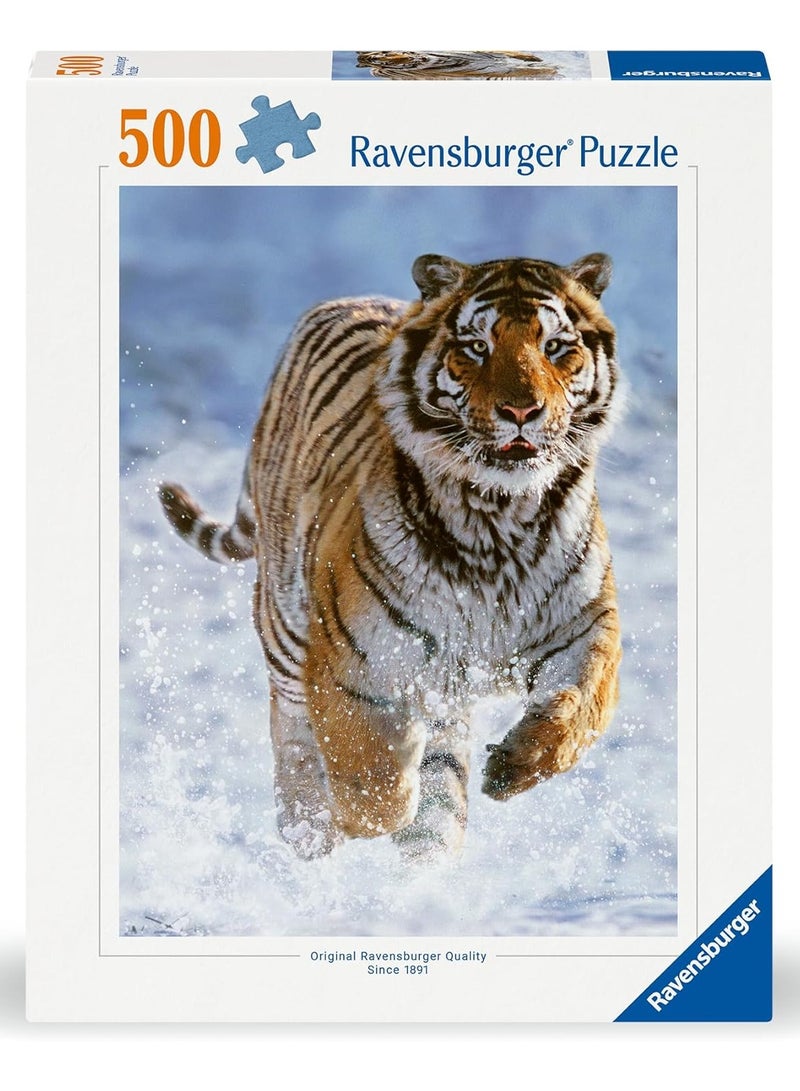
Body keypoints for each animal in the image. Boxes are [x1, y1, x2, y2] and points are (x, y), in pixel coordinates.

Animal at [159, 251, 622, 861]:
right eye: (477, 347)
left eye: (555, 347)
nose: (522, 410)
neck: (498, 517)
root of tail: (344, 300)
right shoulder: (352, 661)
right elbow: (373, 787)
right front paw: (357, 813)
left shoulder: (585, 625)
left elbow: (583, 706)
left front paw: (513, 766)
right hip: (285, 626)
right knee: (291, 731)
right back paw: (308, 830)